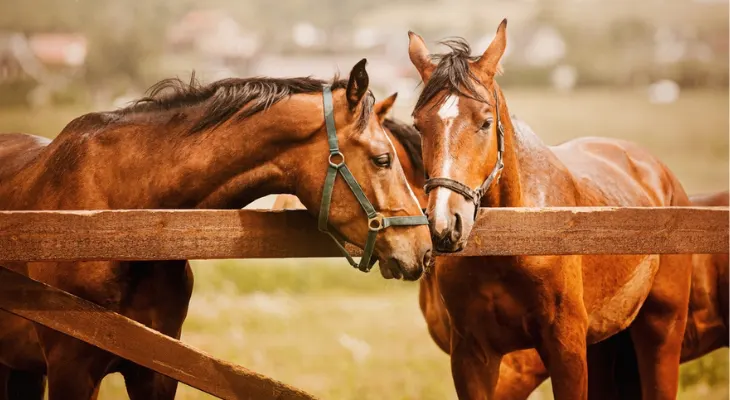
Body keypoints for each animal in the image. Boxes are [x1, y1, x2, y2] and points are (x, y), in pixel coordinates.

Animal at [407, 20, 694, 400]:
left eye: (485, 122)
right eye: (418, 125)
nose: (443, 224)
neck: (515, 241)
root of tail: (660, 174)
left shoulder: (565, 349)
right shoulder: (472, 356)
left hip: (662, 330)